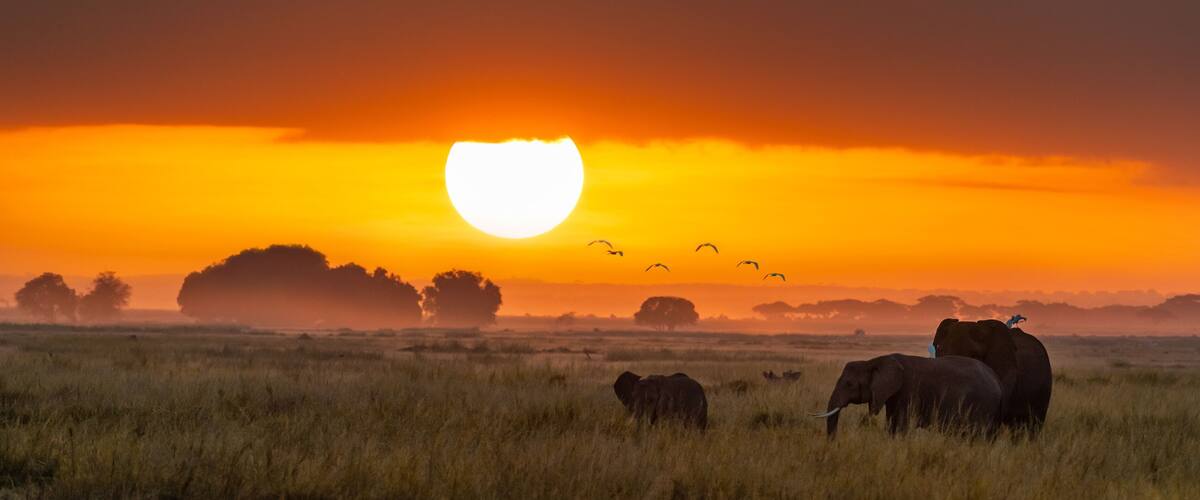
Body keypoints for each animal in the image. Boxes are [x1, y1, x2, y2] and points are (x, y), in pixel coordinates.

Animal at [816, 353, 1002, 437]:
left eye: (849, 384)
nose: (834, 443)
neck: (874, 361)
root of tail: (996, 380)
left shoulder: (908, 391)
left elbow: (900, 425)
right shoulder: (892, 394)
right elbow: (891, 424)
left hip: (980, 405)